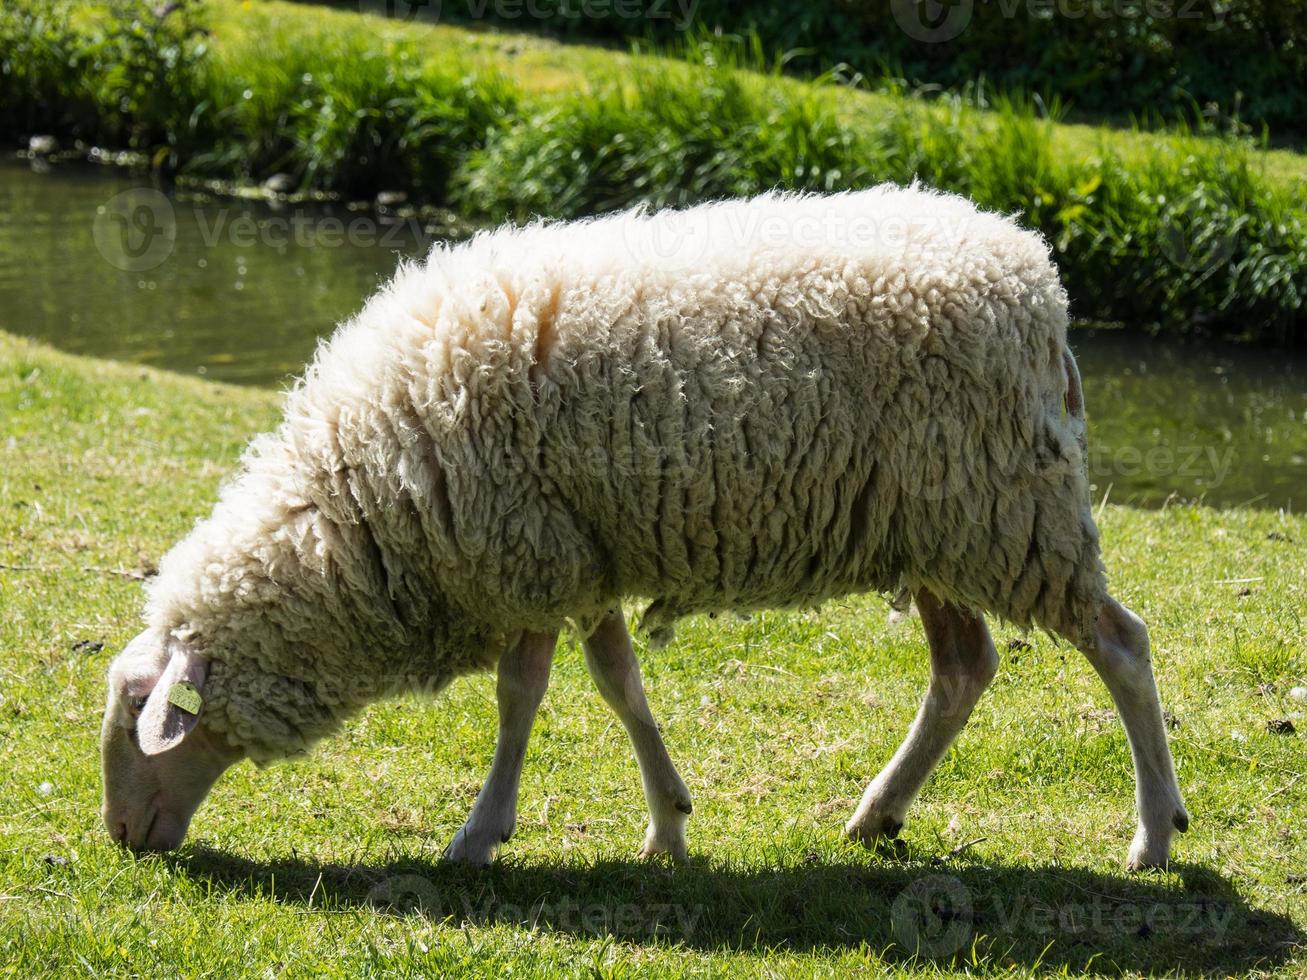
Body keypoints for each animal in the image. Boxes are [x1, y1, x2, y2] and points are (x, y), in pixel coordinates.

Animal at [101, 185, 1186, 872]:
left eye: (141, 717)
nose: (119, 835)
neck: (365, 503)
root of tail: (1036, 280)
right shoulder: (580, 554)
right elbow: (617, 684)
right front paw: (668, 825)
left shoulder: (525, 552)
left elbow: (521, 697)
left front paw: (479, 833)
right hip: (936, 526)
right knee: (963, 668)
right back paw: (875, 813)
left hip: (1006, 511)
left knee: (1119, 644)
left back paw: (1152, 834)